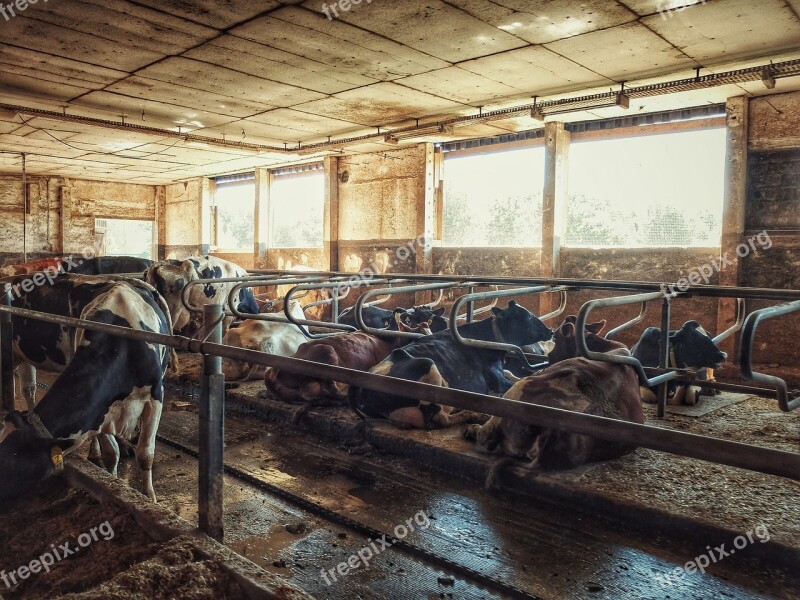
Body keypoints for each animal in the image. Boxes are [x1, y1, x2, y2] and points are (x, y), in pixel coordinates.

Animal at [0, 278, 175, 504]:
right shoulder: (101, 410)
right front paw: (114, 479)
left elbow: (145, 454)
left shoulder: (155, 397)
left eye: (9, 459)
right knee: (28, 389)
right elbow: (111, 453)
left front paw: (149, 497)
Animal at [346, 302, 552, 428]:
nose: (550, 331)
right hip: (427, 364)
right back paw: (474, 414)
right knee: (439, 418)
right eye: (526, 317)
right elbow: (514, 382)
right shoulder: (496, 379)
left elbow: (513, 373)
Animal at [462, 316, 644, 486]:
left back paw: (472, 427)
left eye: (556, 337)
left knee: (487, 435)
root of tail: (557, 431)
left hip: (519, 389)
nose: (549, 355)